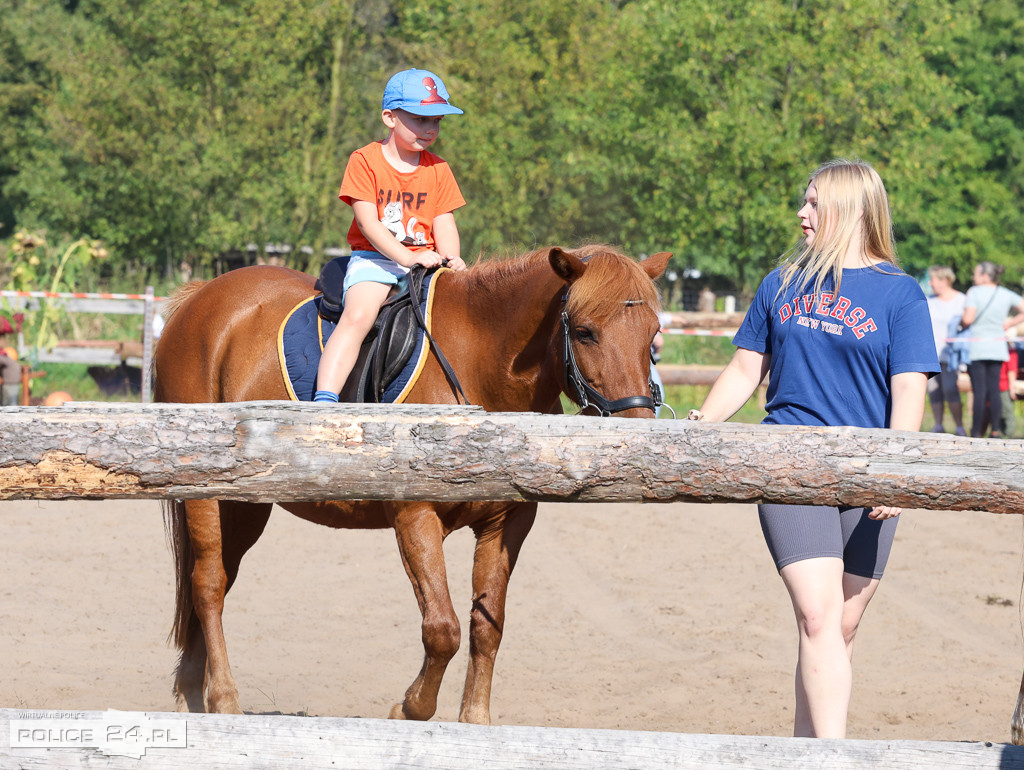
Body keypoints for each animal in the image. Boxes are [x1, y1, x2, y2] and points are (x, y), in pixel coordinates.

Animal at [157, 243, 671, 724]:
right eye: (584, 332)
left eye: (653, 336)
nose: (639, 432)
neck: (480, 364)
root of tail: (196, 299)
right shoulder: (415, 515)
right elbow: (442, 629)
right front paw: (409, 708)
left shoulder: (507, 522)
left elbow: (488, 626)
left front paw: (475, 720)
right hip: (204, 494)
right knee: (207, 584)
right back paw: (224, 700)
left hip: (243, 503)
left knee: (216, 582)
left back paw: (194, 696)